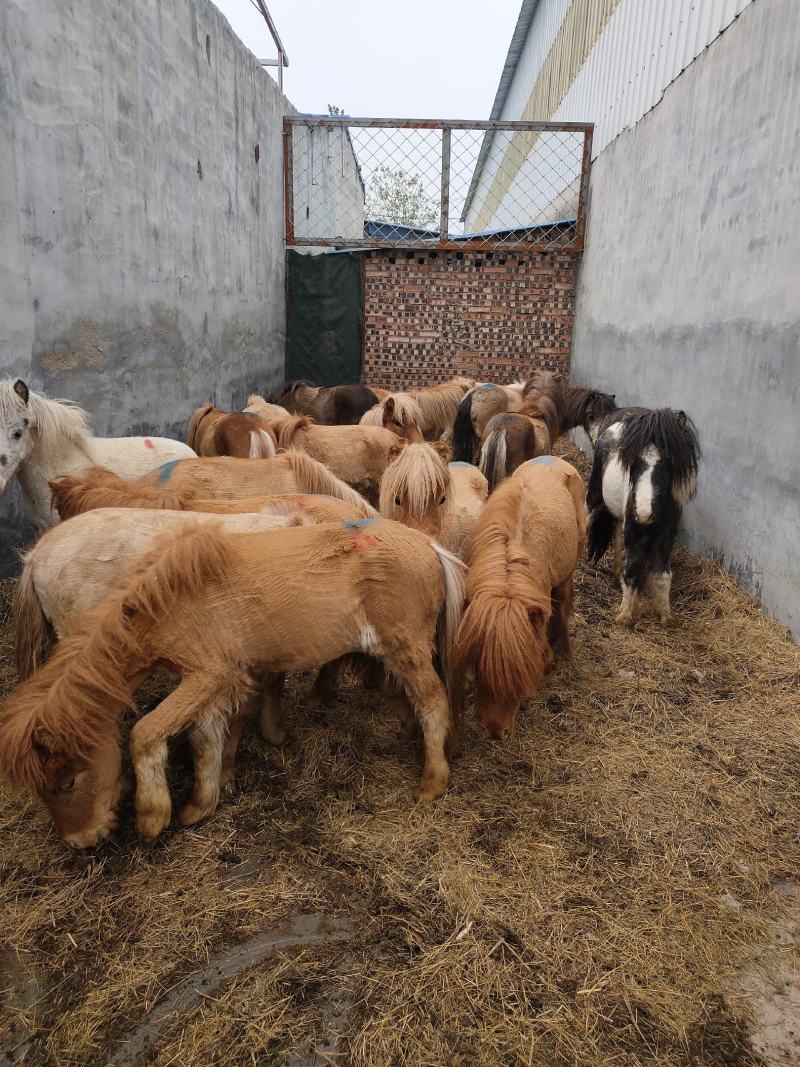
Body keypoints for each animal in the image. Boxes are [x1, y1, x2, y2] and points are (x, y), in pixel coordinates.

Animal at [0, 518, 465, 846]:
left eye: (67, 782)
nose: (79, 841)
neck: (169, 598)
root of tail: (429, 546)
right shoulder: (214, 682)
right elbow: (204, 739)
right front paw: (201, 804)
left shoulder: (208, 674)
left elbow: (145, 733)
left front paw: (152, 816)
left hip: (406, 650)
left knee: (433, 702)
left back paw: (431, 782)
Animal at [456, 456, 586, 739]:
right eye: (481, 665)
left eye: (521, 671)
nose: (495, 730)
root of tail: (557, 460)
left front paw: (548, 660)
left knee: (562, 603)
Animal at [586, 408, 701, 626]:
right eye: (632, 462)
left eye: (667, 462)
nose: (643, 513)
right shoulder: (635, 535)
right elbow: (632, 571)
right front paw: (625, 615)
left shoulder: (666, 539)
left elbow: (663, 575)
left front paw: (665, 615)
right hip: (594, 494)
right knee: (587, 519)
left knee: (618, 534)